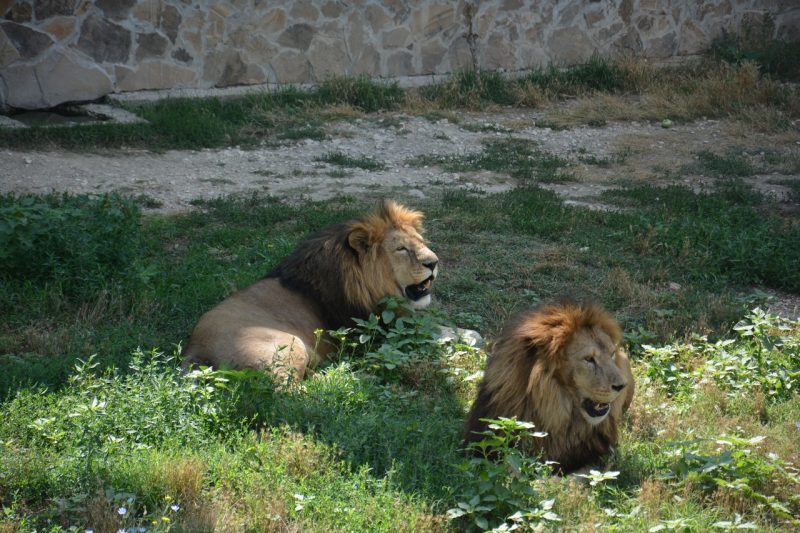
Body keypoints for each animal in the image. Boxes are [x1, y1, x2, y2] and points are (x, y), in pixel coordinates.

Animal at [181, 198, 438, 378]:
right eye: (401, 249)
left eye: (421, 242)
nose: (434, 263)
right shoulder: (374, 328)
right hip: (289, 346)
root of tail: (195, 349)